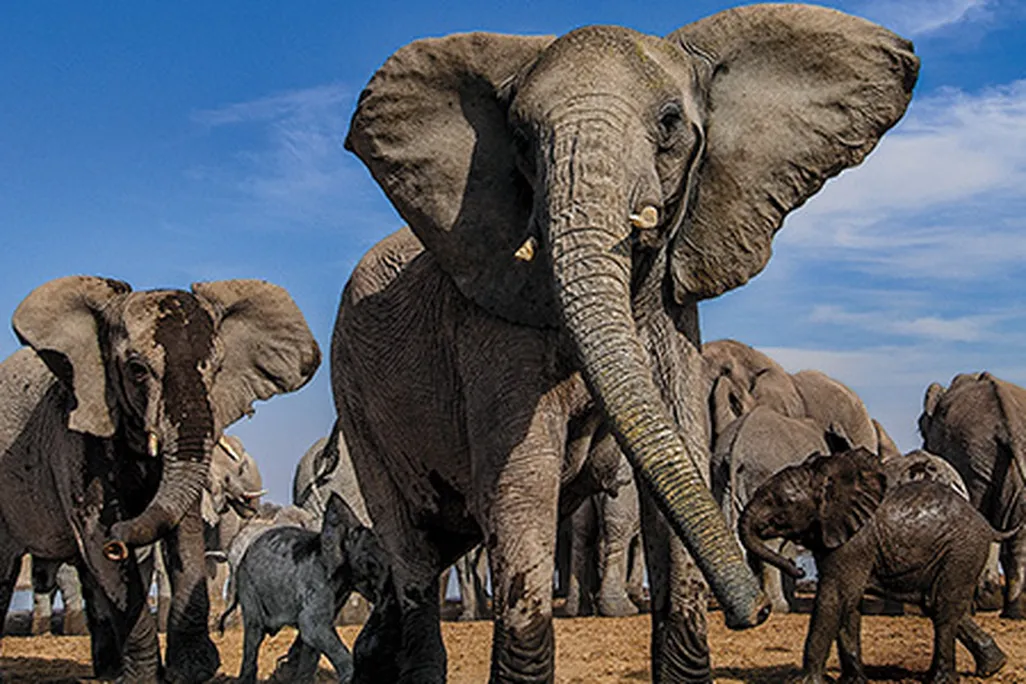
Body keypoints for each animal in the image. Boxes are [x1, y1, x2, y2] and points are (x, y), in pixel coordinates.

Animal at [0, 275, 319, 682]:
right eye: (137, 369)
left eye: (216, 370)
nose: (120, 540)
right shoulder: (73, 436)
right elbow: (97, 535)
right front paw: (146, 677)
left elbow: (184, 534)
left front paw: (193, 670)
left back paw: (108, 671)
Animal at [220, 493, 390, 684]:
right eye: (370, 564)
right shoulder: (317, 579)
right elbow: (310, 624)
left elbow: (312, 637)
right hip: (247, 583)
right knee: (254, 631)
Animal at [337, 5, 917, 681]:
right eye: (522, 139)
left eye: (669, 124)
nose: (751, 615)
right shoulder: (491, 326)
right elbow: (521, 484)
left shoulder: (673, 318)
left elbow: (677, 458)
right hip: (356, 405)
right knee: (411, 556)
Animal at [739, 449, 1011, 684]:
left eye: (777, 501)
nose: (800, 570)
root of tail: (987, 525)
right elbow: (848, 603)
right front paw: (852, 681)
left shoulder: (854, 542)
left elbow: (835, 598)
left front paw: (805, 682)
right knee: (935, 603)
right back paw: (993, 667)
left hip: (962, 551)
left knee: (943, 606)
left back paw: (941, 680)